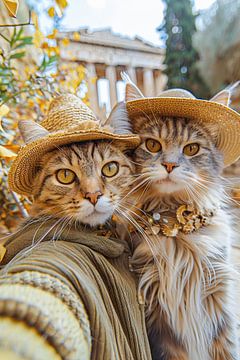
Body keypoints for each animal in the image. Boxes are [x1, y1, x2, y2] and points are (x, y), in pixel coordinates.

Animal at [108, 80, 239, 358]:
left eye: (191, 149)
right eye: (153, 145)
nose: (169, 165)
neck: (174, 228)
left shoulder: (219, 299)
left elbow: (227, 349)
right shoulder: (160, 320)